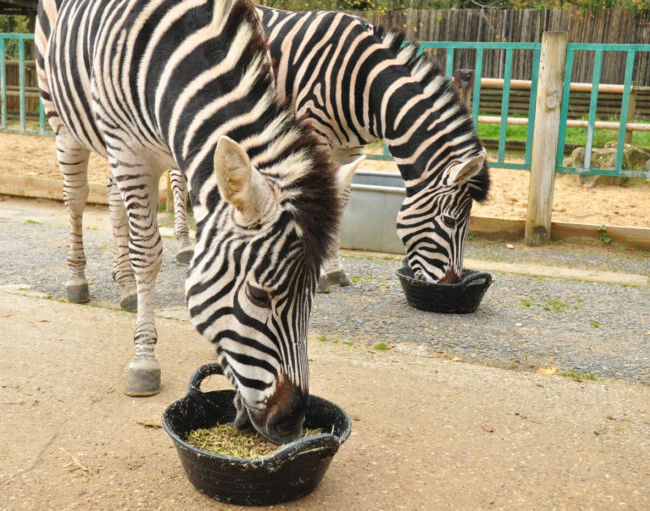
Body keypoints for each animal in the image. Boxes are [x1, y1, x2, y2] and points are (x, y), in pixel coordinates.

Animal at [35, 0, 342, 444]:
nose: (291, 423)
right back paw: (78, 280)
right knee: (75, 198)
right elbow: (148, 254)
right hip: (64, 121)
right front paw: (144, 360)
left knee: (112, 196)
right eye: (259, 295)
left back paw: (126, 287)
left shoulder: (185, 148)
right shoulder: (130, 150)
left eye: (312, 296)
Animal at [168, 7, 490, 291]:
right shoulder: (316, 132)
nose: (452, 283)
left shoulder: (352, 148)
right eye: (450, 220)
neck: (365, 82)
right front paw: (319, 273)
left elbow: (342, 198)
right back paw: (184, 247)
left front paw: (335, 269)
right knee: (176, 176)